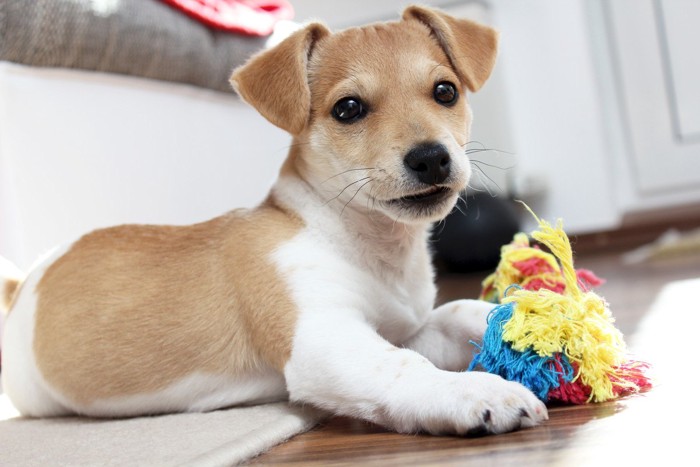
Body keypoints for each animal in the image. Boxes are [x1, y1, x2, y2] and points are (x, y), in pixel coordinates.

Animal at [0, 5, 548, 436]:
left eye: (446, 92)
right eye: (348, 108)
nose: (432, 159)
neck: (361, 241)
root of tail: (24, 284)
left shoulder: (401, 329)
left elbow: (459, 312)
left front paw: (531, 309)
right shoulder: (325, 341)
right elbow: (403, 368)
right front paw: (478, 392)